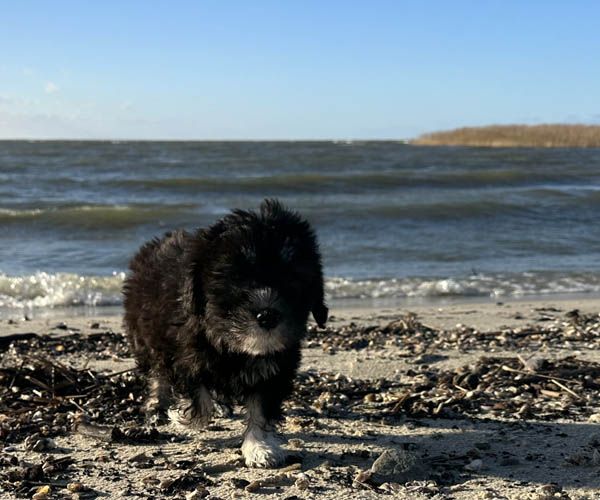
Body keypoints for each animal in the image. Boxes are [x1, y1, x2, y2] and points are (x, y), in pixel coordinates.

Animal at [123, 199, 328, 468]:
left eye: (292, 279)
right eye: (236, 278)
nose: (267, 315)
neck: (233, 345)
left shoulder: (274, 366)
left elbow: (261, 407)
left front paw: (259, 447)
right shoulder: (184, 353)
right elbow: (198, 392)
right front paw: (183, 415)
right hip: (145, 336)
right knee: (159, 373)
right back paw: (158, 404)